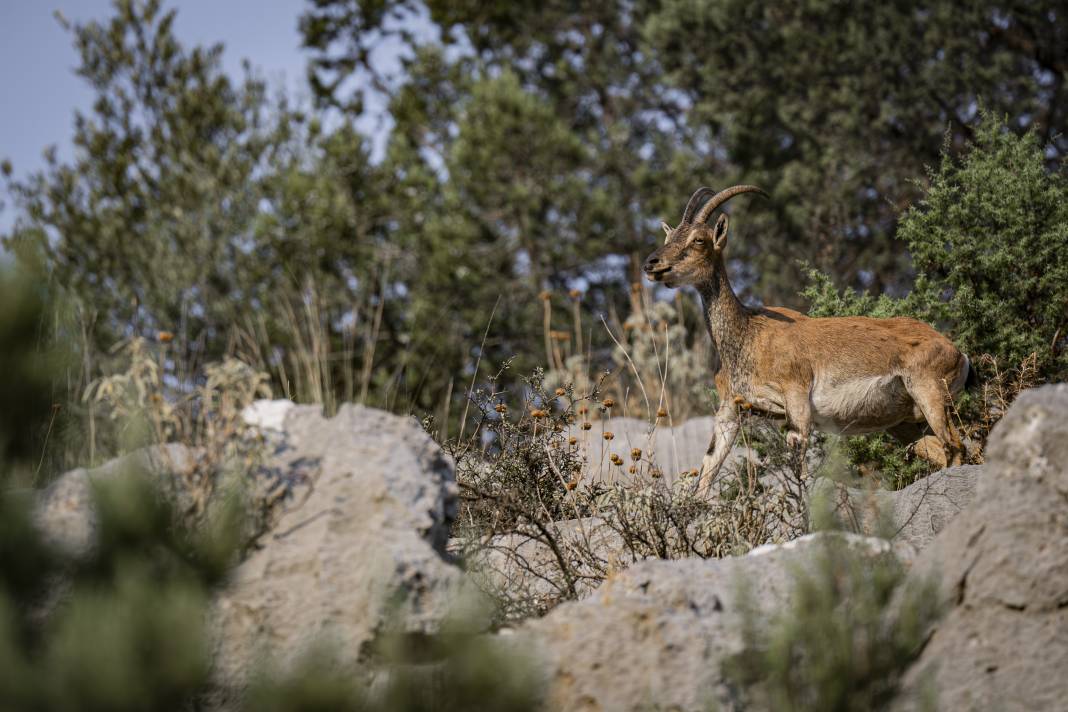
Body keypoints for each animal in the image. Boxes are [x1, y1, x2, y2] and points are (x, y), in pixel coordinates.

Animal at [645, 186, 974, 499]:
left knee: (956, 448)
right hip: (904, 424)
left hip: (930, 396)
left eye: (699, 240)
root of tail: (959, 353)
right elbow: (705, 476)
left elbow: (801, 472)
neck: (747, 336)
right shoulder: (730, 411)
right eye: (670, 235)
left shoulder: (797, 402)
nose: (652, 263)